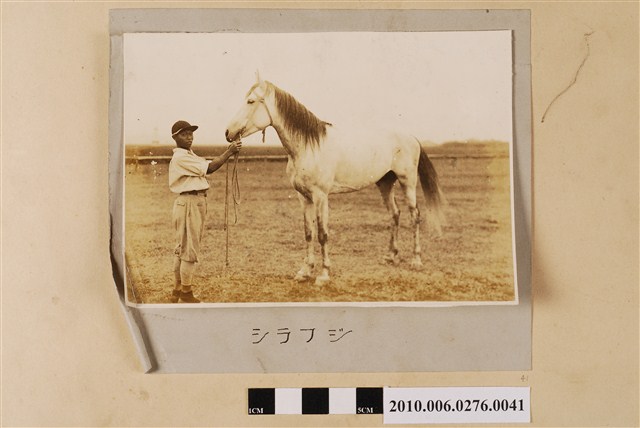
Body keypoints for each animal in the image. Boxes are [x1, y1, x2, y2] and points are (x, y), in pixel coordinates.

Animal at [225, 74, 444, 286]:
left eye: (251, 101)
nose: (228, 133)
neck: (308, 147)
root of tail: (411, 137)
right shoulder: (304, 198)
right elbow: (308, 232)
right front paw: (304, 272)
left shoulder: (321, 196)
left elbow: (323, 234)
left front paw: (323, 275)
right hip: (385, 183)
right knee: (395, 214)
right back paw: (391, 256)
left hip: (408, 182)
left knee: (414, 216)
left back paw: (416, 260)